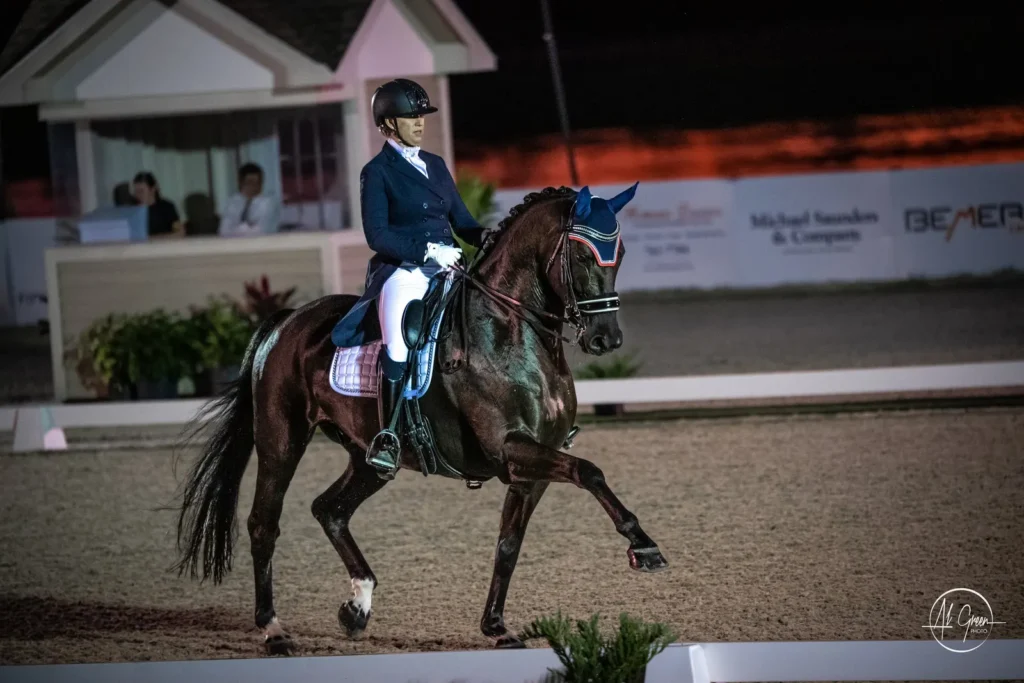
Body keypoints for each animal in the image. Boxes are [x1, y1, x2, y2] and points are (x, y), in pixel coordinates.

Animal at [172, 183, 669, 655]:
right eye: (583, 255)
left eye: (621, 253)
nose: (607, 338)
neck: (511, 332)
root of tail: (287, 321)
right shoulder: (511, 449)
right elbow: (590, 471)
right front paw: (643, 546)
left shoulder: (532, 467)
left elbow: (509, 544)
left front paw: (496, 628)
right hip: (281, 441)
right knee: (264, 523)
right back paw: (274, 630)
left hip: (369, 457)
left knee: (330, 509)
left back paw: (357, 606)